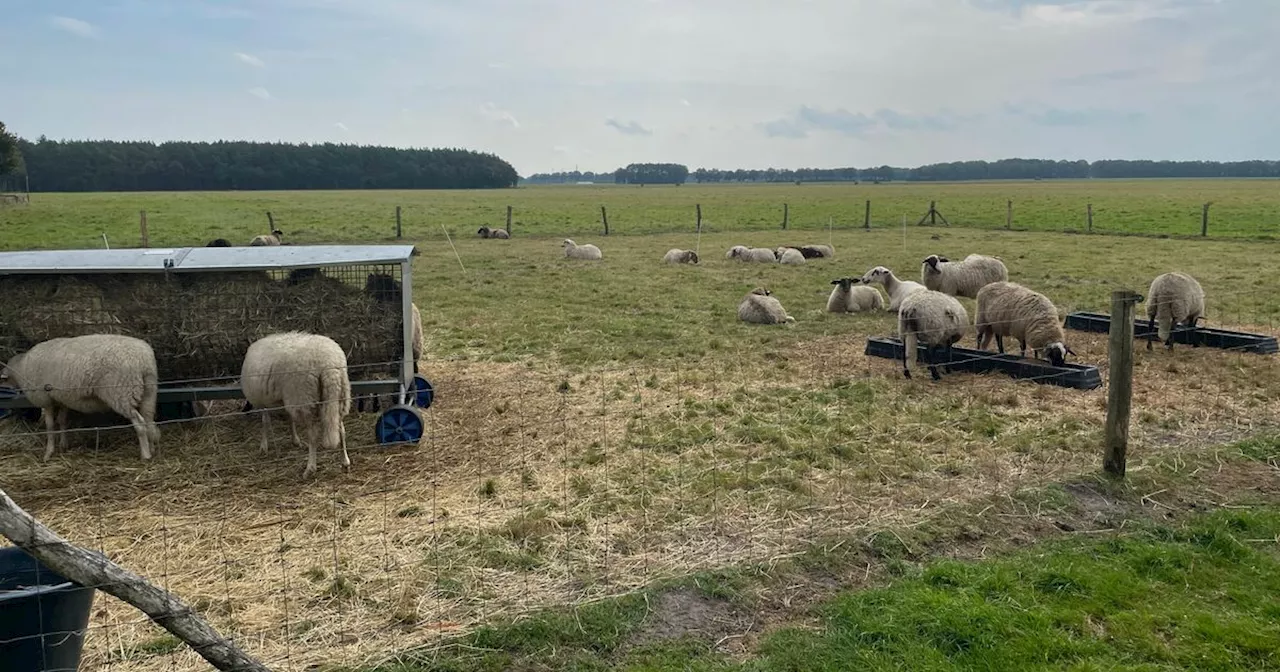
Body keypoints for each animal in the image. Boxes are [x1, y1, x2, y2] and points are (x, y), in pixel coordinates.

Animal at [0, 332, 160, 458]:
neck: (21, 368)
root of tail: (142, 359)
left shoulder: (45, 399)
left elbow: (50, 426)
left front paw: (49, 452)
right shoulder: (62, 398)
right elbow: (62, 421)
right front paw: (63, 445)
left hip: (121, 393)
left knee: (140, 424)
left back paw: (145, 455)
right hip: (149, 390)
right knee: (149, 421)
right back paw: (152, 448)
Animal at [240, 330, 353, 476]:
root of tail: (328, 365)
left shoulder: (263, 401)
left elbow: (265, 422)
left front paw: (263, 446)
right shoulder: (286, 398)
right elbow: (290, 418)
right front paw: (295, 440)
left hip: (303, 397)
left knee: (313, 435)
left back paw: (310, 468)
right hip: (340, 395)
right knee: (341, 430)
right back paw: (345, 462)